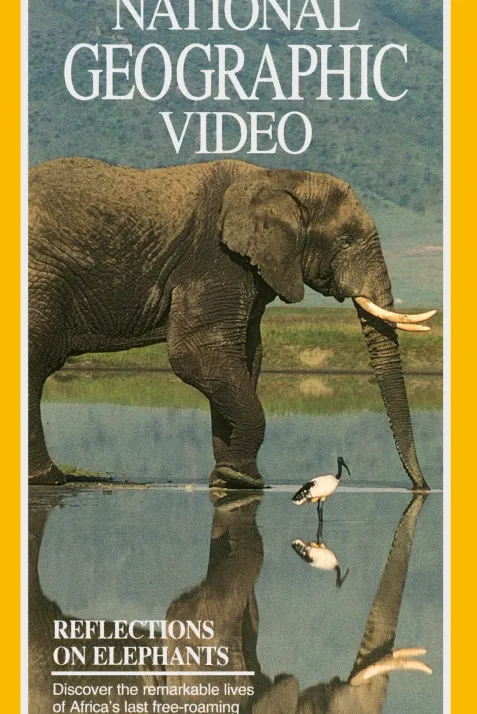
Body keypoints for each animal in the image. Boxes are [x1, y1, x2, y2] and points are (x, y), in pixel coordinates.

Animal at [28, 157, 437, 489]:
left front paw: (229, 479)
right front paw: (243, 481)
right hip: (42, 278)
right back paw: (49, 479)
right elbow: (199, 353)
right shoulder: (216, 258)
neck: (278, 177)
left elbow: (244, 357)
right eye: (346, 239)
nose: (421, 487)